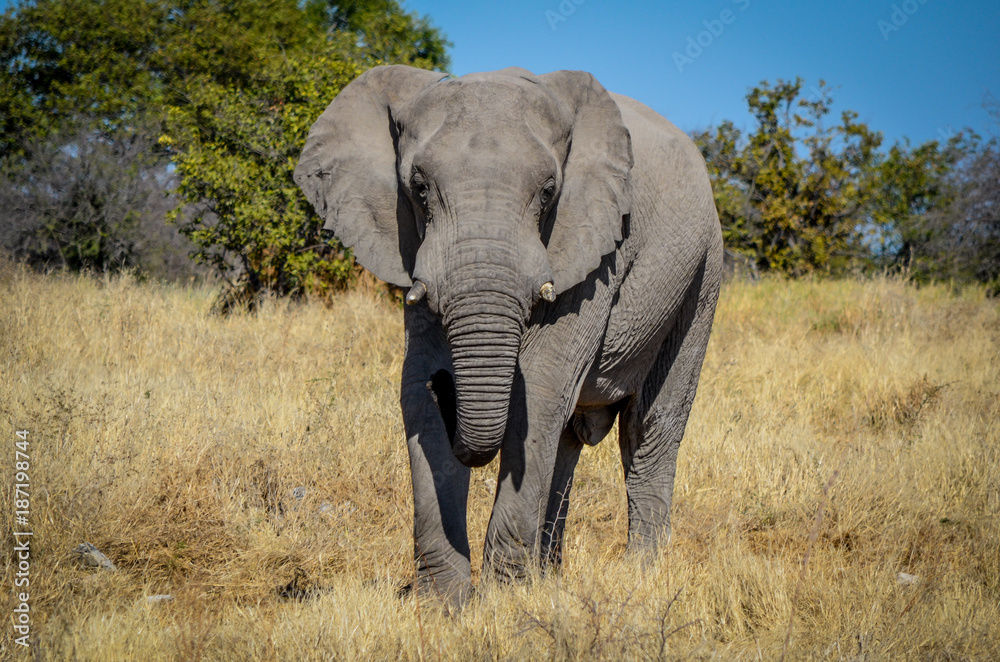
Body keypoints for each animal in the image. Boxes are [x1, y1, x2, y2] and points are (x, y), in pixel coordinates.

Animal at [295, 65, 723, 609]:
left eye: (547, 191)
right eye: (418, 188)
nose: (447, 385)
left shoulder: (594, 249)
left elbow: (538, 391)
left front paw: (506, 604)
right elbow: (414, 396)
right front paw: (444, 606)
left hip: (703, 273)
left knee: (650, 427)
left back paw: (641, 574)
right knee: (568, 441)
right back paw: (551, 575)